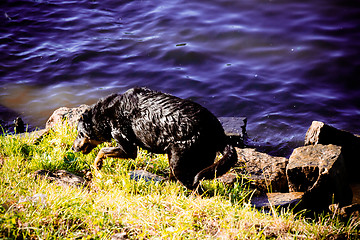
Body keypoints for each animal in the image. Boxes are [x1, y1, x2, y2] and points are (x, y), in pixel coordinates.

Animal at [71, 87, 238, 188]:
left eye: (79, 134)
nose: (72, 148)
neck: (106, 115)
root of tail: (219, 133)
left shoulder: (128, 149)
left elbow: (103, 150)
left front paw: (97, 164)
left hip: (180, 162)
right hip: (181, 159)